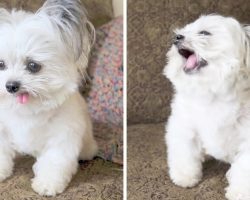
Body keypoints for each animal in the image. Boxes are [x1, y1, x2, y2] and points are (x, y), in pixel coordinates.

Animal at [0, 0, 97, 196]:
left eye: (33, 66)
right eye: (0, 64)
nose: (11, 86)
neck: (26, 110)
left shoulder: (62, 136)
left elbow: (54, 161)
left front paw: (47, 184)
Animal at [164, 14, 250, 200]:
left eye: (204, 33)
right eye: (184, 30)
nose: (177, 37)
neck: (213, 93)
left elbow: (244, 168)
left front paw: (240, 191)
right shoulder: (184, 125)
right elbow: (185, 151)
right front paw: (184, 176)